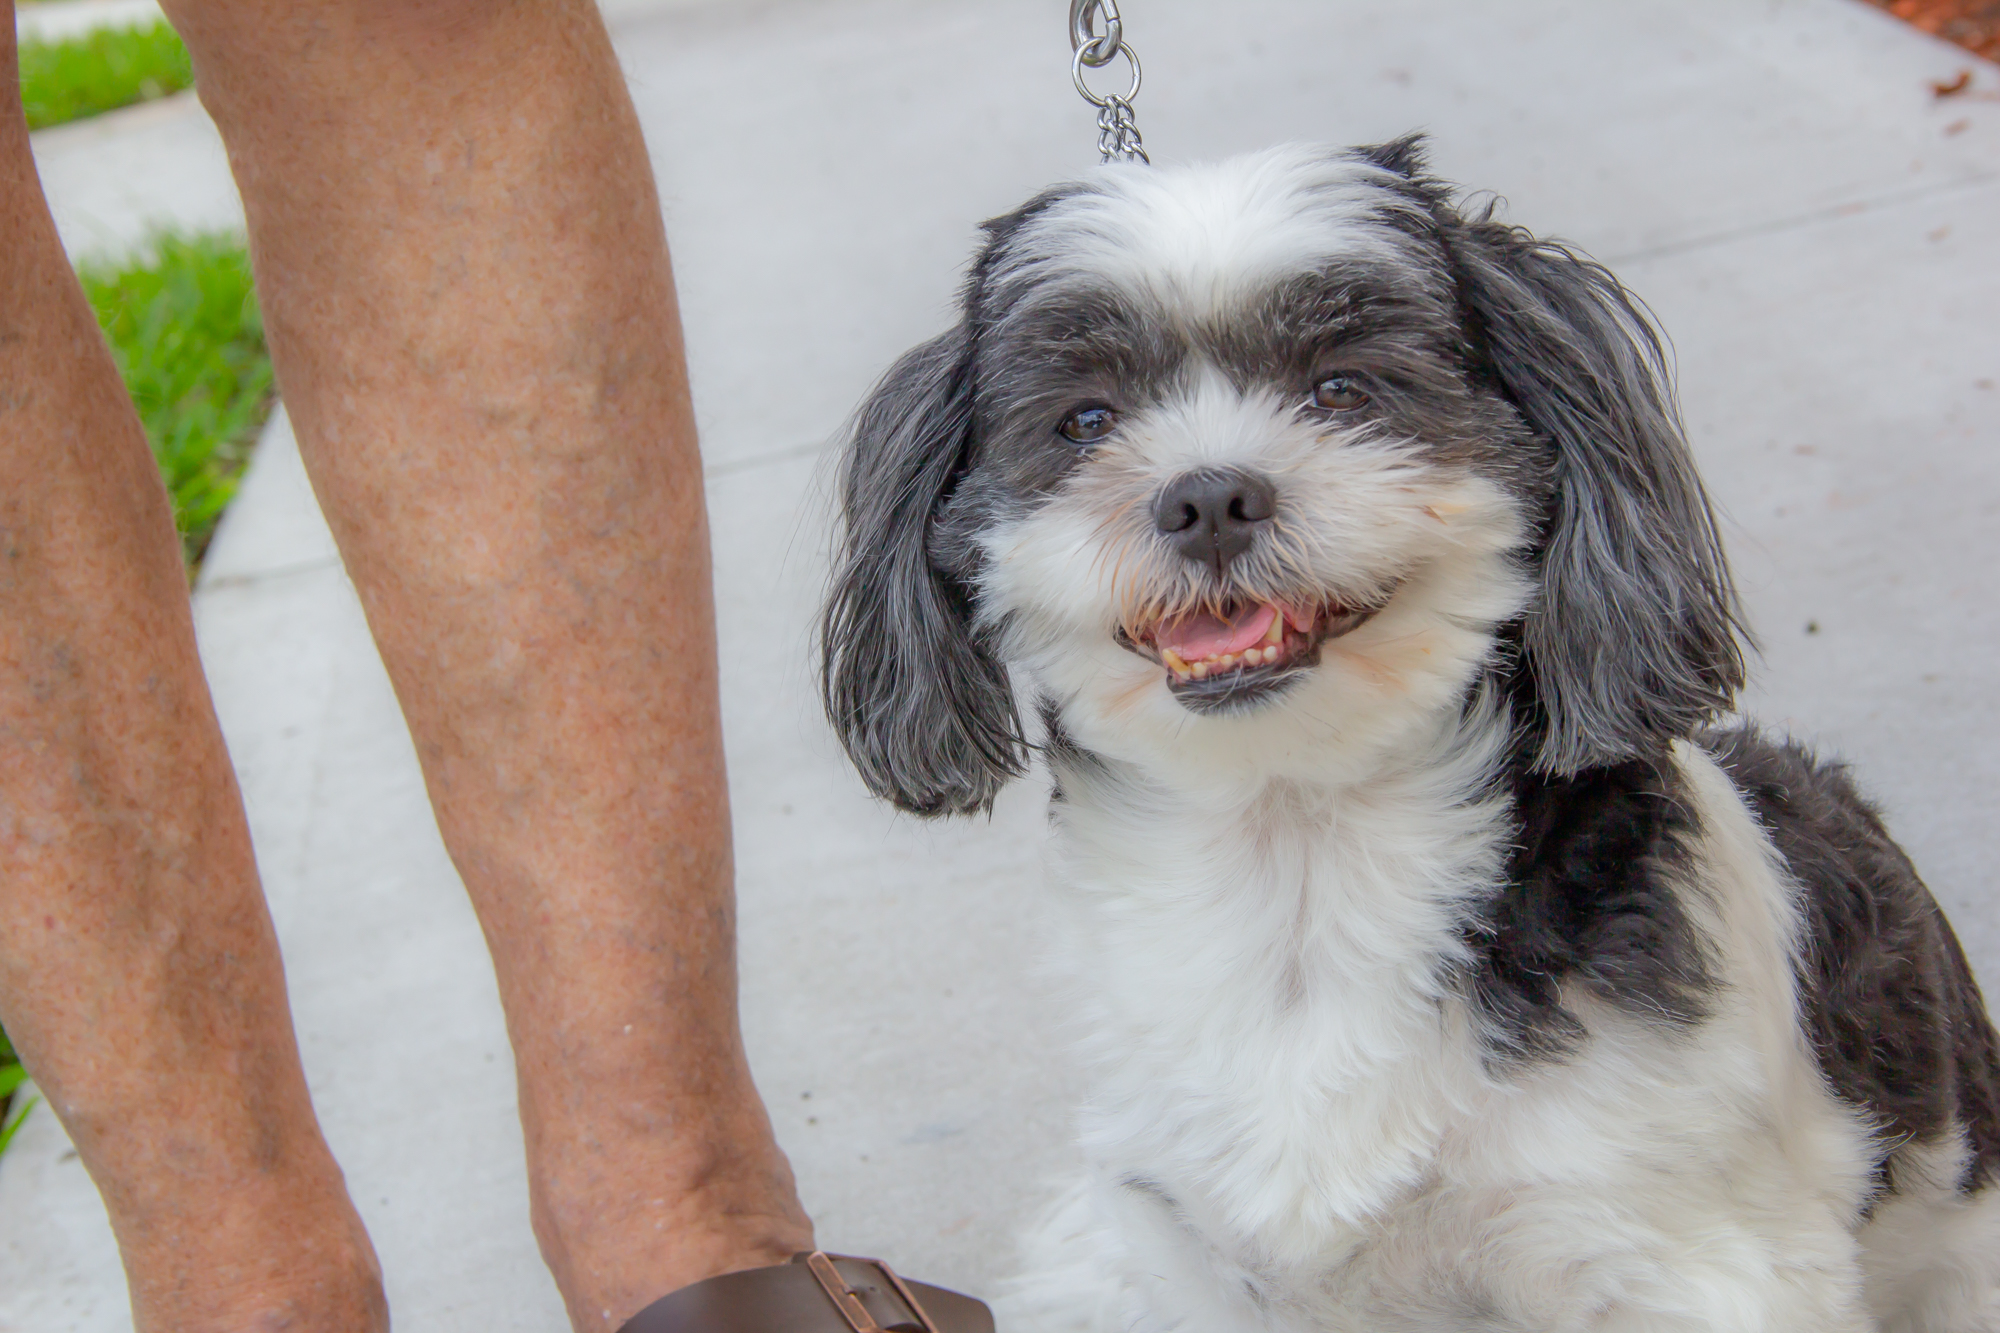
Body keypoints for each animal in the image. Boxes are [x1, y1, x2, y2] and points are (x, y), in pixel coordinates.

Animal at [816, 137, 2000, 1328]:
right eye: (1085, 420)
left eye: (1341, 387)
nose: (1208, 498)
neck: (1301, 863)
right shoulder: (1172, 1252)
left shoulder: (1689, 1257)